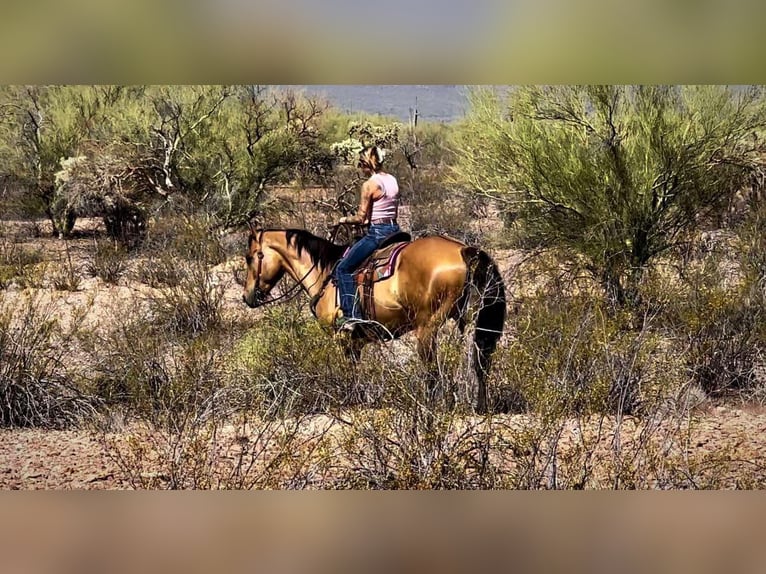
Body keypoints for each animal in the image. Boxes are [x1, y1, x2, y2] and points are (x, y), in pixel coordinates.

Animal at [242, 225, 506, 413]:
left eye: (250, 257)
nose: (247, 297)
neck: (325, 273)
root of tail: (464, 250)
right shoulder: (356, 341)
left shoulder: (342, 338)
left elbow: (349, 371)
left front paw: (349, 400)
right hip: (476, 325)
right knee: (480, 363)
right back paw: (480, 406)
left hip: (429, 327)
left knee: (434, 370)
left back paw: (431, 405)